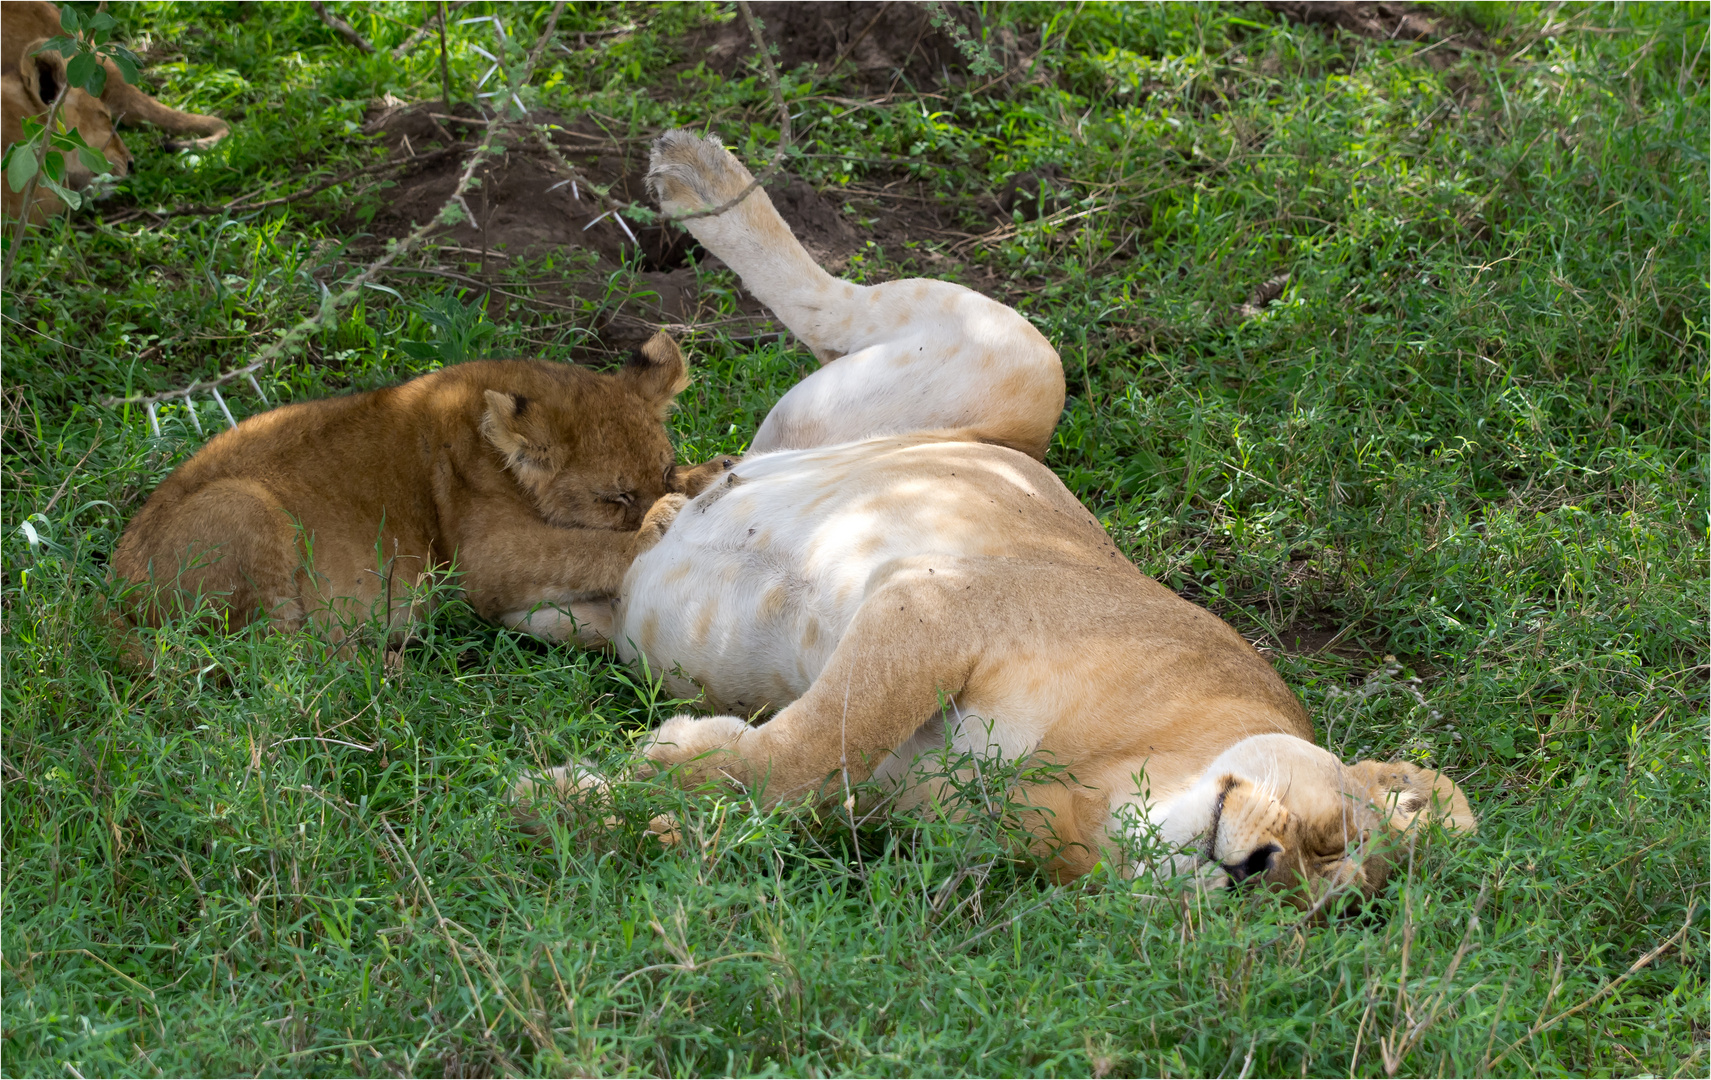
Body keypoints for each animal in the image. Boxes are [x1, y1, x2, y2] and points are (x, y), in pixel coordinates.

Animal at [117, 338, 732, 653]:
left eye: (666, 468)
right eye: (614, 498)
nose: (667, 491)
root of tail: (112, 586)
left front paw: (711, 472)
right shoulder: (484, 559)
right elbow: (585, 549)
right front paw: (663, 523)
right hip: (242, 503)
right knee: (269, 659)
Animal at [509, 135, 1471, 910]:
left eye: (1305, 909)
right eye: (1327, 834)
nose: (1255, 872)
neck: (1095, 793)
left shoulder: (872, 799)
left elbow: (769, 784)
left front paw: (631, 786)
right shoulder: (934, 609)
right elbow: (810, 743)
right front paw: (565, 797)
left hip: (591, 598)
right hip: (1021, 365)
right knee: (832, 301)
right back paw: (694, 174)